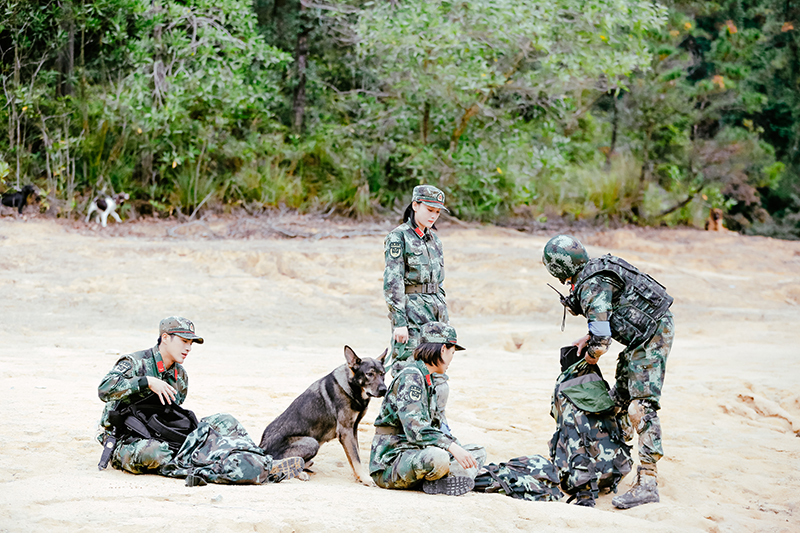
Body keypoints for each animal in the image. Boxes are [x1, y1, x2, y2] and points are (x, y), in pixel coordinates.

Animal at [260, 344, 388, 486]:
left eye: (383, 374)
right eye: (369, 374)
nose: (384, 390)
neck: (352, 387)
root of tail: (262, 448)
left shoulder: (353, 430)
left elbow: (356, 456)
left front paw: (359, 477)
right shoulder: (345, 432)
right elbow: (356, 458)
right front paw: (365, 478)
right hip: (312, 442)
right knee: (276, 463)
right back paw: (298, 472)